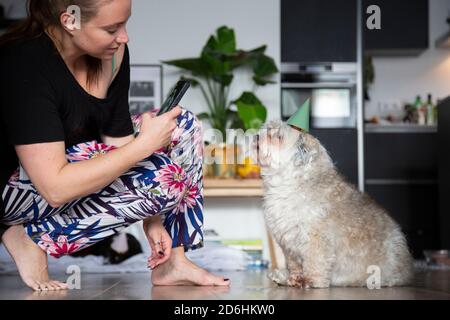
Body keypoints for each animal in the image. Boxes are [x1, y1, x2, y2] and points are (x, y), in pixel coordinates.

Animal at [255, 121, 414, 288]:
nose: (257, 136)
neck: (291, 182)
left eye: (278, 136)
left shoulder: (317, 239)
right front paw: (292, 277)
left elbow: (315, 262)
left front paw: (309, 280)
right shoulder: (288, 242)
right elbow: (295, 264)